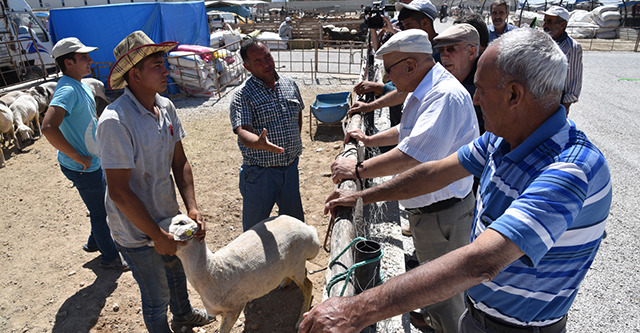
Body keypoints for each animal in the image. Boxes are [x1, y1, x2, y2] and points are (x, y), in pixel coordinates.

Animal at [158, 214, 320, 330]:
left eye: (181, 223)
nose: (154, 233)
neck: (211, 271)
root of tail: (310, 231)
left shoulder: (235, 307)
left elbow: (225, 329)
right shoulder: (225, 310)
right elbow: (221, 323)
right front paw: (216, 327)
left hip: (297, 265)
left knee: (308, 286)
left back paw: (300, 321)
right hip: (292, 266)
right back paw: (284, 283)